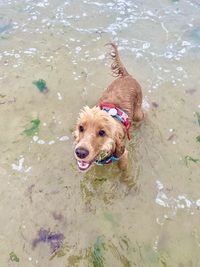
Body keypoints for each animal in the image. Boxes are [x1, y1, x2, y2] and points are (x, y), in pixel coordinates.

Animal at [73, 43, 144, 174]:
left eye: (102, 132)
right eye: (81, 128)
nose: (80, 152)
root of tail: (127, 76)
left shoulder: (123, 154)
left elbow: (124, 169)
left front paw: (127, 179)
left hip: (137, 113)